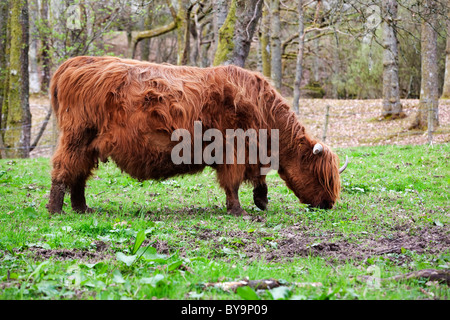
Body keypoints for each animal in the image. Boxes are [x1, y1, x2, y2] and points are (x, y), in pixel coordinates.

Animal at [46, 56, 348, 216]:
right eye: (320, 176)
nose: (328, 204)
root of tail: (73, 63)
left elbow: (258, 177)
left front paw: (261, 201)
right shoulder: (233, 150)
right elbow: (233, 182)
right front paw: (238, 210)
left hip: (88, 145)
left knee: (79, 174)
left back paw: (82, 208)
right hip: (76, 137)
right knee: (63, 170)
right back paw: (56, 209)